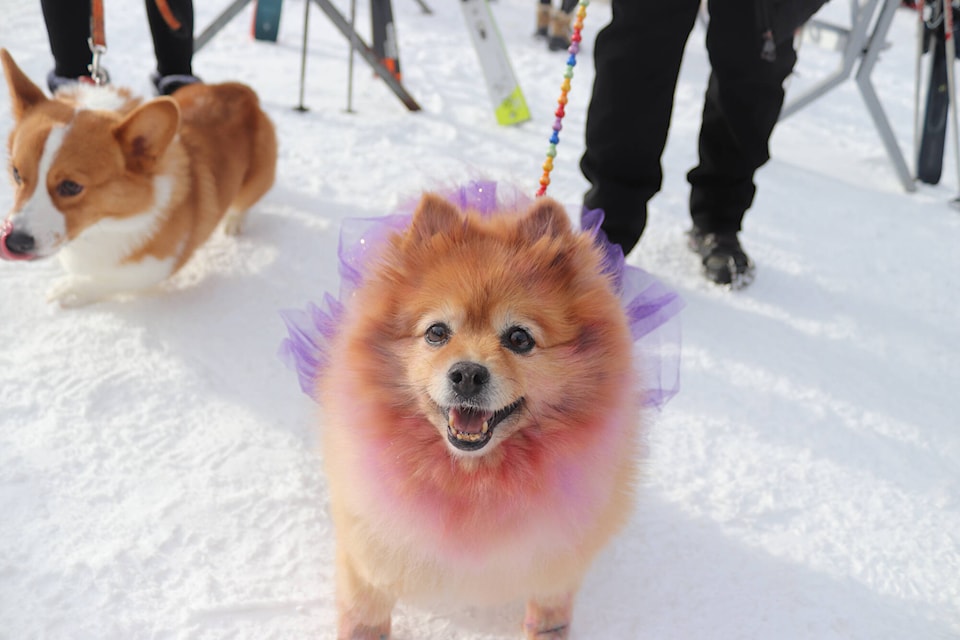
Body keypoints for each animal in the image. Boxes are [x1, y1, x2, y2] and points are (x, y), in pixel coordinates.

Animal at [0, 49, 278, 304]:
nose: (13, 242)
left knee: (244, 202)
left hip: (257, 179)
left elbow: (110, 279)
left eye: (71, 186)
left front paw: (70, 290)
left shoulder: (159, 263)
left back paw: (234, 223)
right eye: (16, 173)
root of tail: (243, 91)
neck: (104, 225)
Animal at [316, 195, 644, 640]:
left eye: (519, 338)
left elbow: (549, 616)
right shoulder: (369, 554)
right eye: (437, 332)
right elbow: (364, 617)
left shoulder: (556, 565)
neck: (474, 479)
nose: (468, 374)